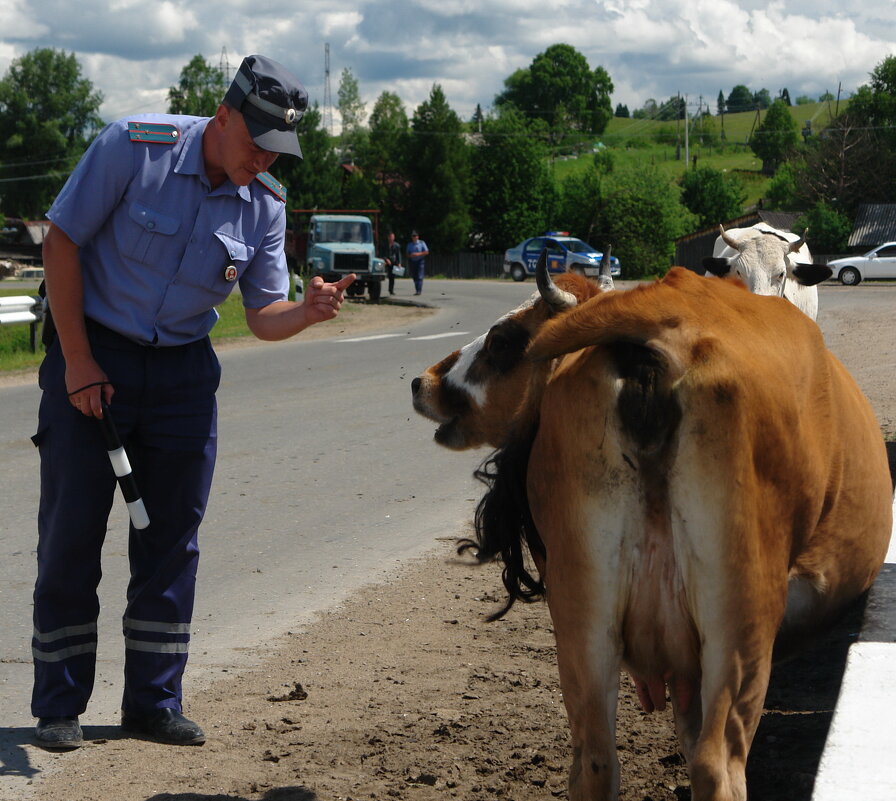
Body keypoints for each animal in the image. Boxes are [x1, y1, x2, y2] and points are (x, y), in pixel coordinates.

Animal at [412, 258, 888, 800]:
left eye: (501, 339)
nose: (422, 381)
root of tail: (661, 321)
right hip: (742, 614)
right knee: (718, 765)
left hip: (583, 612)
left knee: (595, 760)